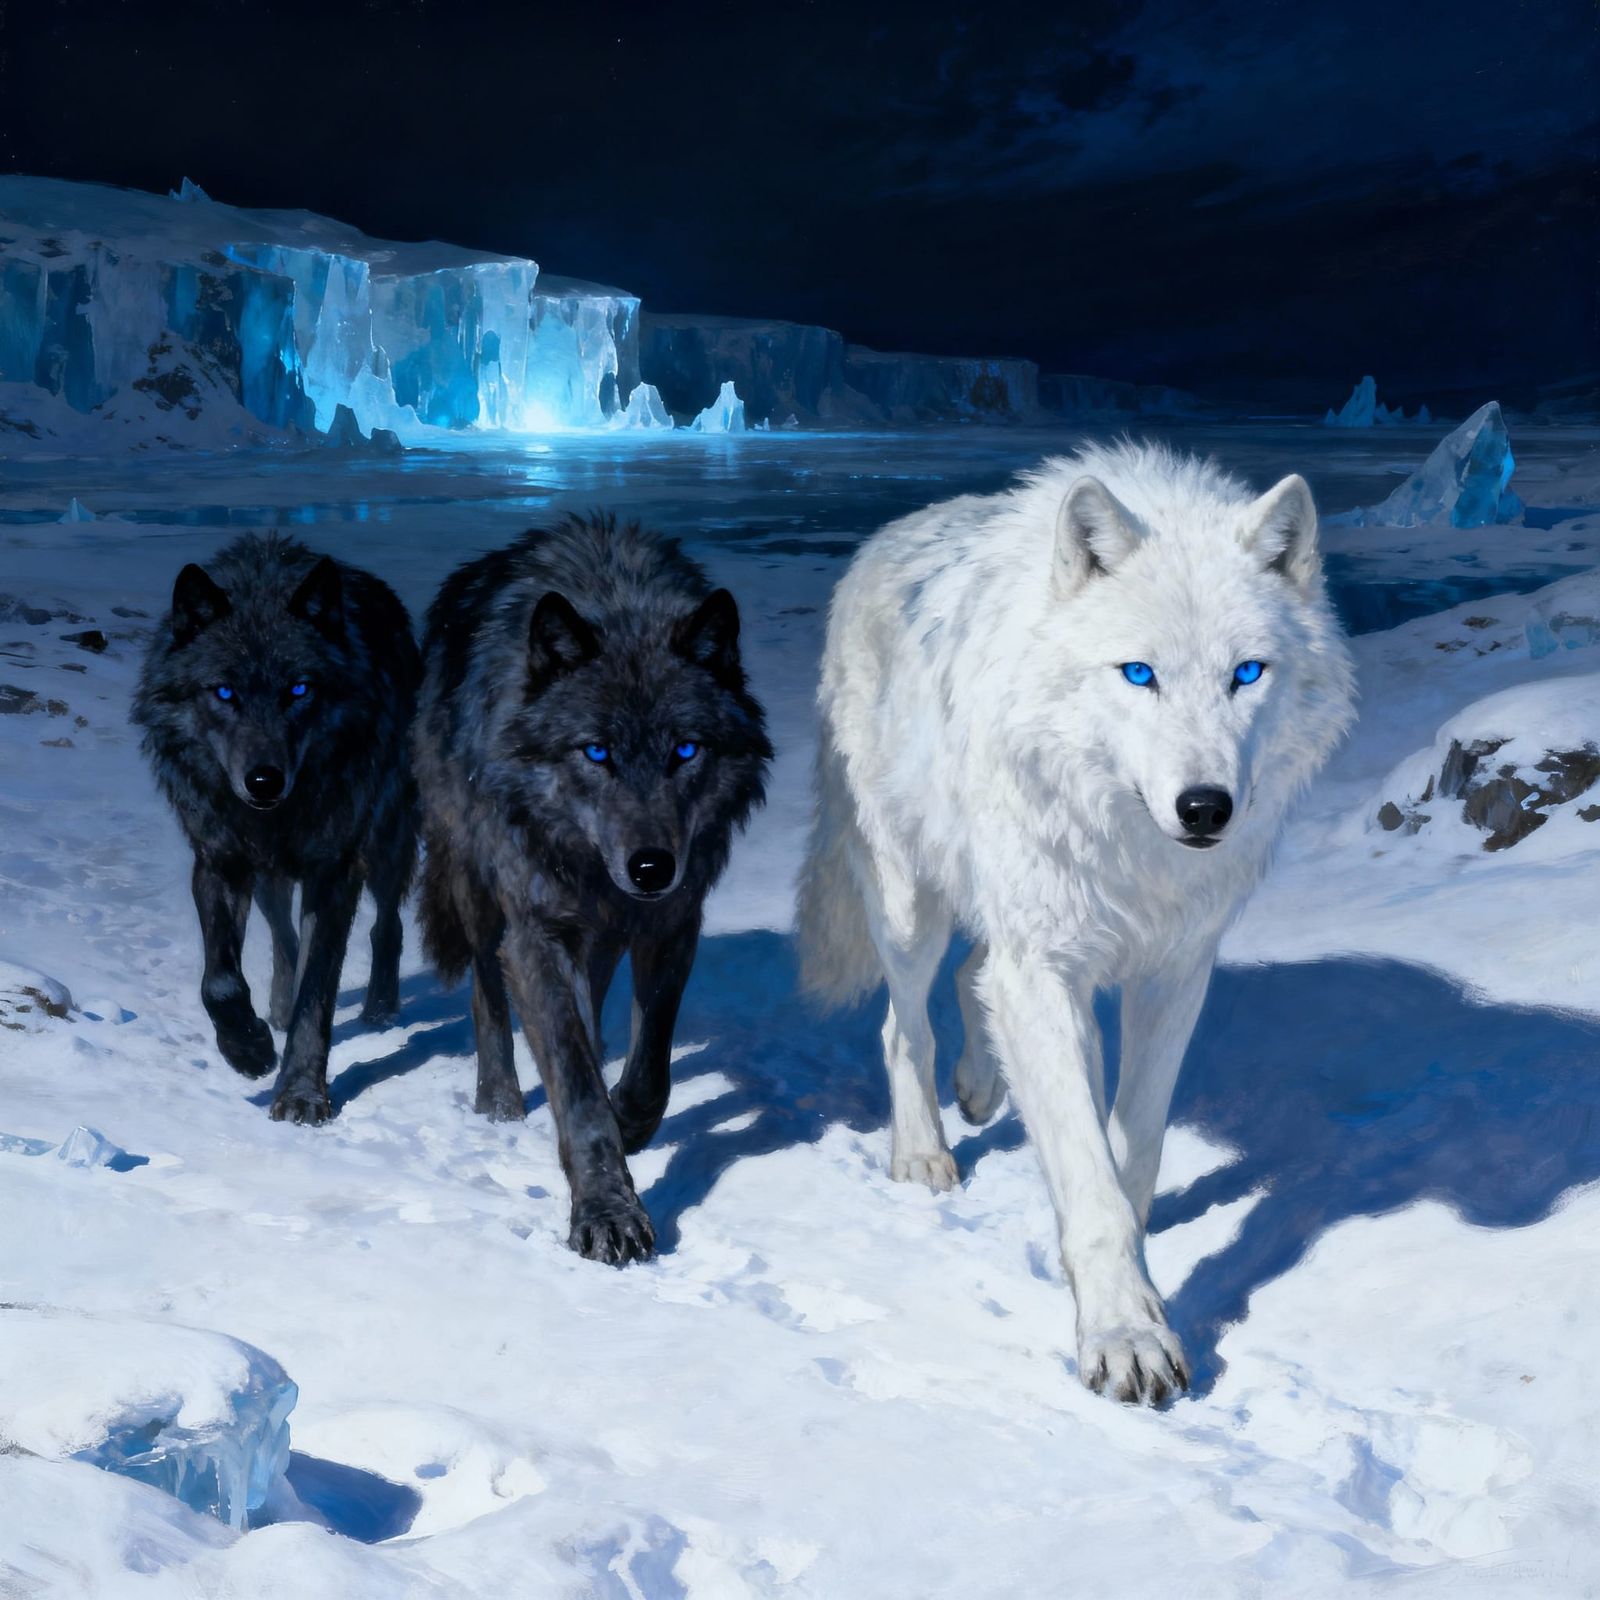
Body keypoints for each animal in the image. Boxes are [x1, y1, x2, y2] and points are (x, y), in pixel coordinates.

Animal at [132, 532, 420, 1124]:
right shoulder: (219, 861)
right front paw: (249, 1049)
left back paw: (381, 1007)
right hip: (270, 881)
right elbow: (219, 981)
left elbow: (319, 992)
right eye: (224, 692)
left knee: (387, 924)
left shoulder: (335, 874)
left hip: (385, 840)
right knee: (284, 937)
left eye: (299, 689)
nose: (264, 781)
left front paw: (302, 1093)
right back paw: (277, 1012)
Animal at [413, 513, 771, 1266]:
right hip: (477, 888)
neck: (618, 599)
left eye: (685, 750)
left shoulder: (674, 921)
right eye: (597, 752)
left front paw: (629, 1119)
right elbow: (575, 1082)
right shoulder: (539, 933)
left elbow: (652, 1061)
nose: (650, 867)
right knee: (487, 990)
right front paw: (609, 1211)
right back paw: (499, 1100)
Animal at [796, 441, 1355, 1404]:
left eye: (1247, 673)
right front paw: (1127, 1337)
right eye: (1139, 673)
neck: (1135, 848)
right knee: (903, 1026)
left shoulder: (1174, 973)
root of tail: (884, 537)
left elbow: (1132, 1150)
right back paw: (923, 1156)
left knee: (970, 979)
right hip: (909, 906)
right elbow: (1089, 1176)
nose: (1205, 807)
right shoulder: (1048, 970)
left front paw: (1131, 1279)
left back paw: (981, 1089)